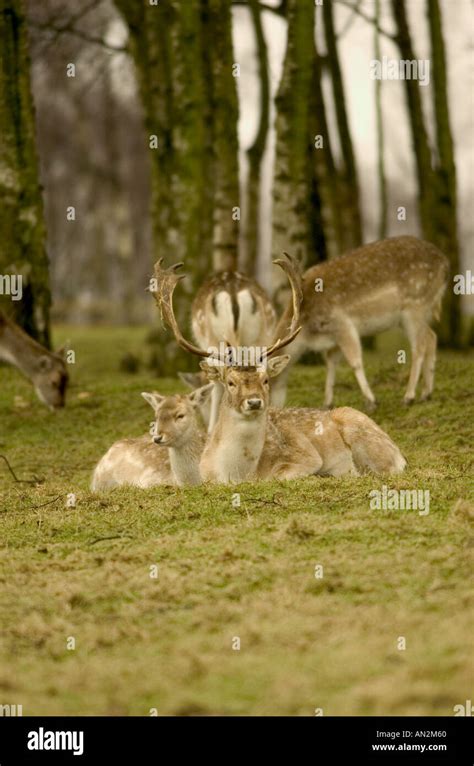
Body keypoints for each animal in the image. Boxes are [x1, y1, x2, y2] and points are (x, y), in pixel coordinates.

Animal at [270, 237, 448, 412]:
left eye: (266, 380)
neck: (308, 333)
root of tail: (445, 264)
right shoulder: (333, 337)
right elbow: (331, 362)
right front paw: (327, 403)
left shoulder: (342, 323)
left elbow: (355, 361)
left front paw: (371, 401)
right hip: (415, 313)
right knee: (431, 336)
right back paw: (426, 393)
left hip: (415, 306)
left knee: (419, 346)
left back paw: (409, 397)